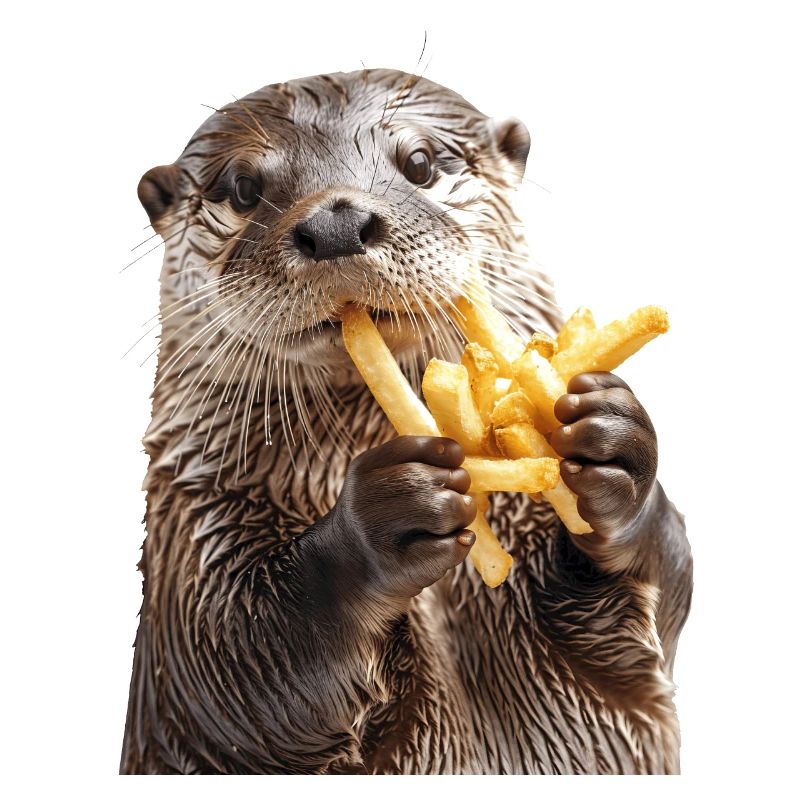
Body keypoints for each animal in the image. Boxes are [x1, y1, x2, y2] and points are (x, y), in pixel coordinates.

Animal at [121, 68, 692, 774]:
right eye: (244, 187)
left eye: (419, 162)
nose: (335, 223)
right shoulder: (194, 535)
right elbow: (235, 661)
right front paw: (390, 506)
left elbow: (663, 603)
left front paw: (617, 444)